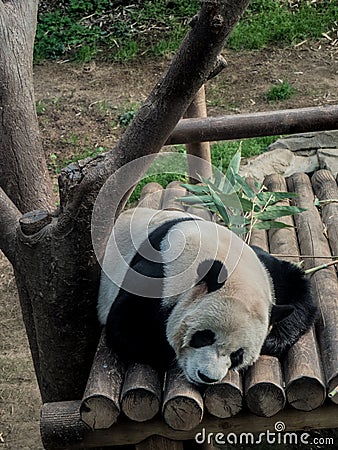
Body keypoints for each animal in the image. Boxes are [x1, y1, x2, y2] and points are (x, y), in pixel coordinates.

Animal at [97, 207, 316, 384]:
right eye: (204, 337)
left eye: (238, 355)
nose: (207, 377)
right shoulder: (161, 273)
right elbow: (126, 326)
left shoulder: (265, 269)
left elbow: (298, 287)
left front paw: (273, 340)